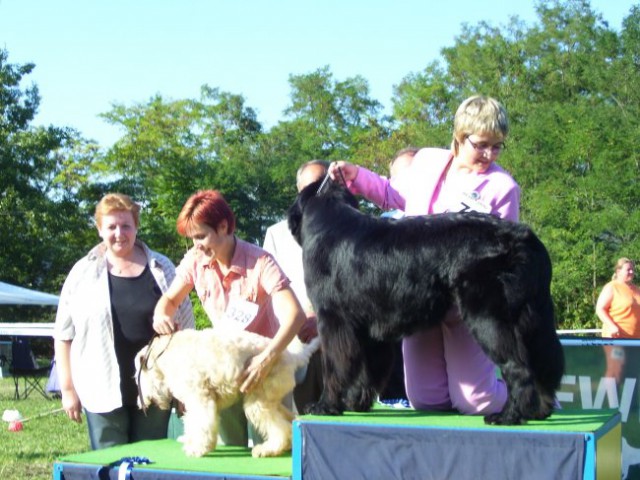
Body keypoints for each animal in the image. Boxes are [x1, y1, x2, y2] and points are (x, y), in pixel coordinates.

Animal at [138, 328, 322, 460]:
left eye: (137, 377)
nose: (141, 405)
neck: (165, 354)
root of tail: (292, 357)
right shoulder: (196, 402)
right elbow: (194, 423)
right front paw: (193, 442)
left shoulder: (200, 399)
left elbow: (202, 423)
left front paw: (197, 448)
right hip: (270, 400)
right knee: (289, 420)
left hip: (257, 403)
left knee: (281, 429)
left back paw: (266, 450)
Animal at [290, 179, 564, 424]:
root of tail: (525, 237)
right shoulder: (369, 331)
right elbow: (368, 370)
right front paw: (356, 402)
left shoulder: (333, 321)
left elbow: (334, 366)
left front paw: (325, 405)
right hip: (533, 317)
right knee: (544, 361)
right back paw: (538, 410)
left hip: (490, 318)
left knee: (517, 367)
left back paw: (508, 415)